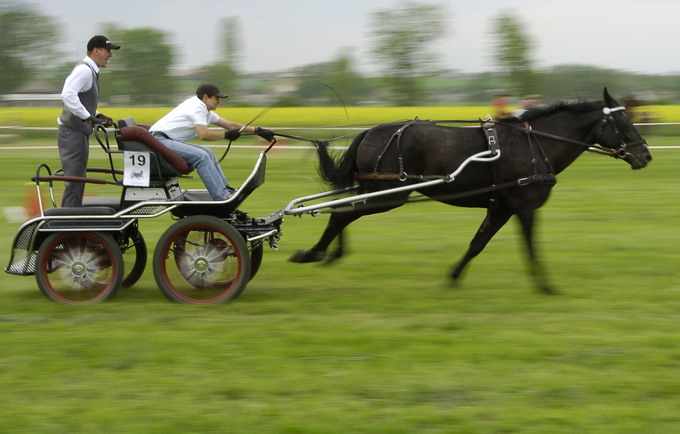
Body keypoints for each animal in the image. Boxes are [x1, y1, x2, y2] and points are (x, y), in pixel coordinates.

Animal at [290, 87, 652, 292]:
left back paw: (329, 253)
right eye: (624, 123)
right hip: (390, 194)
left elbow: (478, 243)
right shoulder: (524, 206)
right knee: (341, 213)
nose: (645, 155)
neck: (535, 144)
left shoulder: (502, 207)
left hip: (376, 190)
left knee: (344, 211)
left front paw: (453, 276)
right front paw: (546, 286)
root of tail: (369, 132)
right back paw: (314, 252)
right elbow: (531, 248)